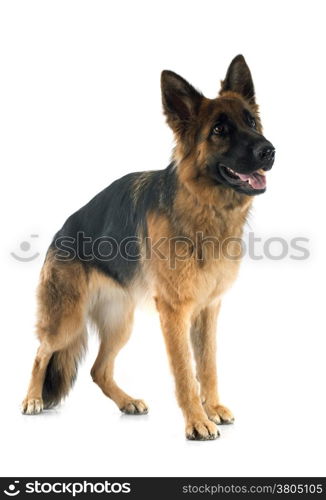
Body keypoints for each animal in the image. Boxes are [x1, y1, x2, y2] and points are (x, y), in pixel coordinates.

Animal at [21, 55, 274, 442]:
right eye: (219, 130)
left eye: (251, 121)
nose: (269, 150)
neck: (203, 206)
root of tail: (61, 231)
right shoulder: (174, 311)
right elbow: (185, 371)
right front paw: (196, 420)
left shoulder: (208, 310)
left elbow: (208, 365)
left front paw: (213, 407)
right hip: (67, 320)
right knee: (41, 352)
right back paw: (33, 398)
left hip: (120, 324)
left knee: (98, 370)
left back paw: (126, 401)